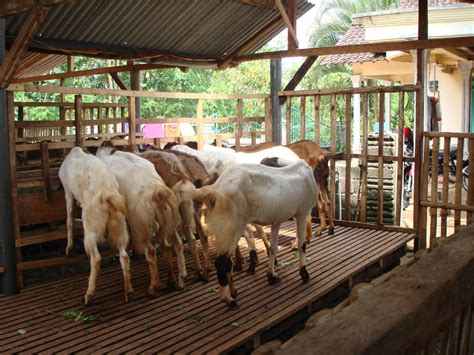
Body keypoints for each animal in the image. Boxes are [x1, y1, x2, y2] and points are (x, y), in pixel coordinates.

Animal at [60, 147, 133, 306]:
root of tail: (107, 193)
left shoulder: (67, 191)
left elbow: (69, 219)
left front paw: (68, 249)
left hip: (91, 226)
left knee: (96, 258)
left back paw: (88, 295)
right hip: (119, 225)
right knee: (124, 256)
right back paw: (128, 291)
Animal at [96, 146, 187, 294]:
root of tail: (157, 192)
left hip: (144, 225)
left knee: (151, 251)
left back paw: (153, 287)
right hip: (167, 220)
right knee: (172, 246)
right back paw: (175, 281)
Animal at [191, 160, 316, 310]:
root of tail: (216, 188)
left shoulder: (277, 220)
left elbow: (273, 248)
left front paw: (272, 276)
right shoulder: (303, 212)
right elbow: (302, 245)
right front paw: (304, 274)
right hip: (232, 226)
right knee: (222, 261)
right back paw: (229, 300)